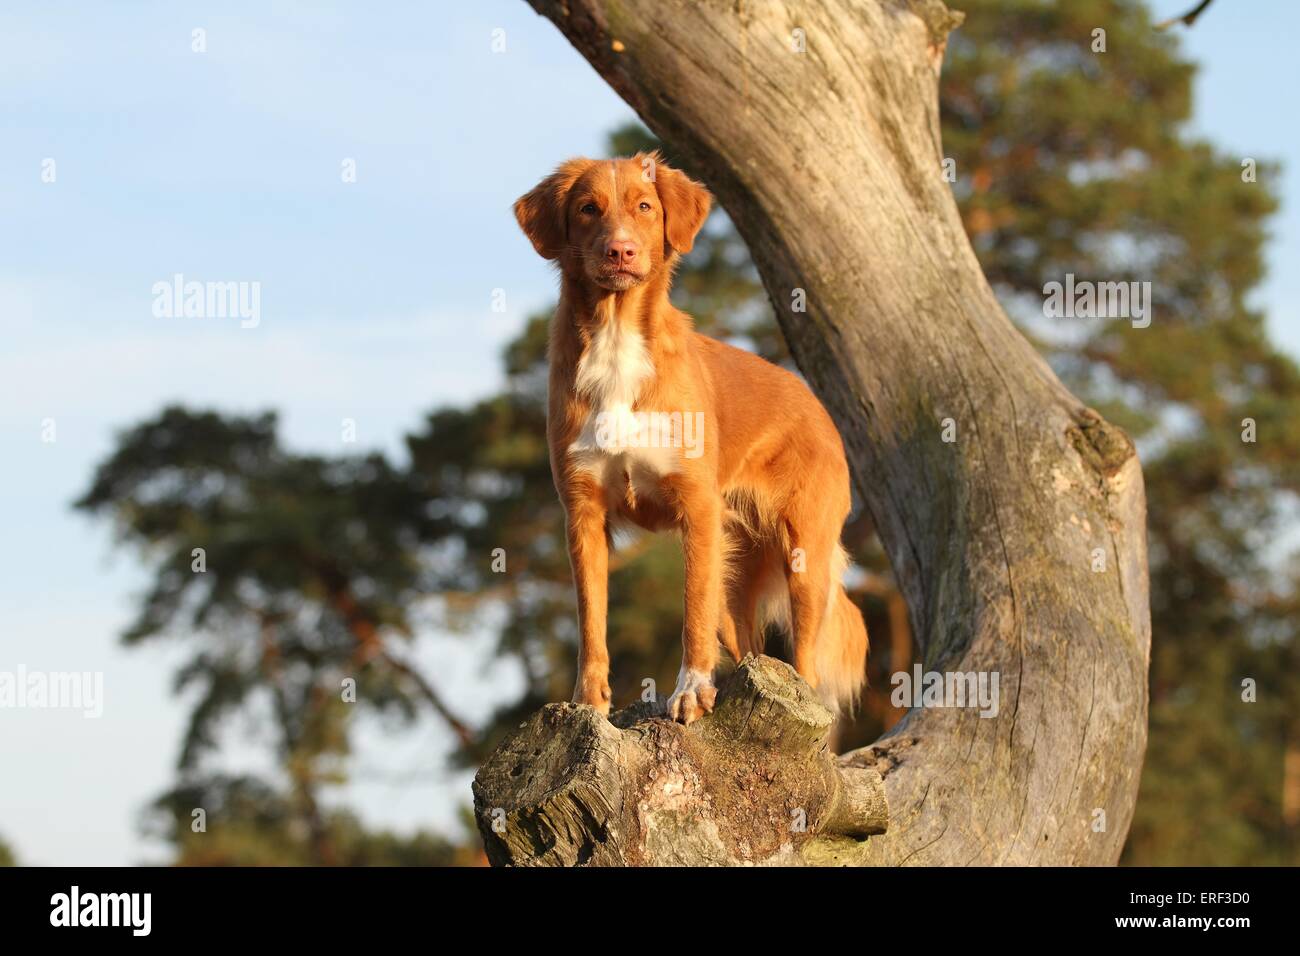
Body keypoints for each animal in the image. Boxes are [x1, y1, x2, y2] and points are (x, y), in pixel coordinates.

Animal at [512, 151, 868, 723]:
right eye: (588, 208)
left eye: (644, 206)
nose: (620, 250)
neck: (617, 340)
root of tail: (814, 401)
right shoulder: (583, 513)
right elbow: (591, 621)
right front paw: (588, 704)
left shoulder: (697, 509)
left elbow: (691, 612)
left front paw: (692, 692)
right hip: (736, 569)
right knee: (747, 648)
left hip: (803, 553)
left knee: (806, 664)